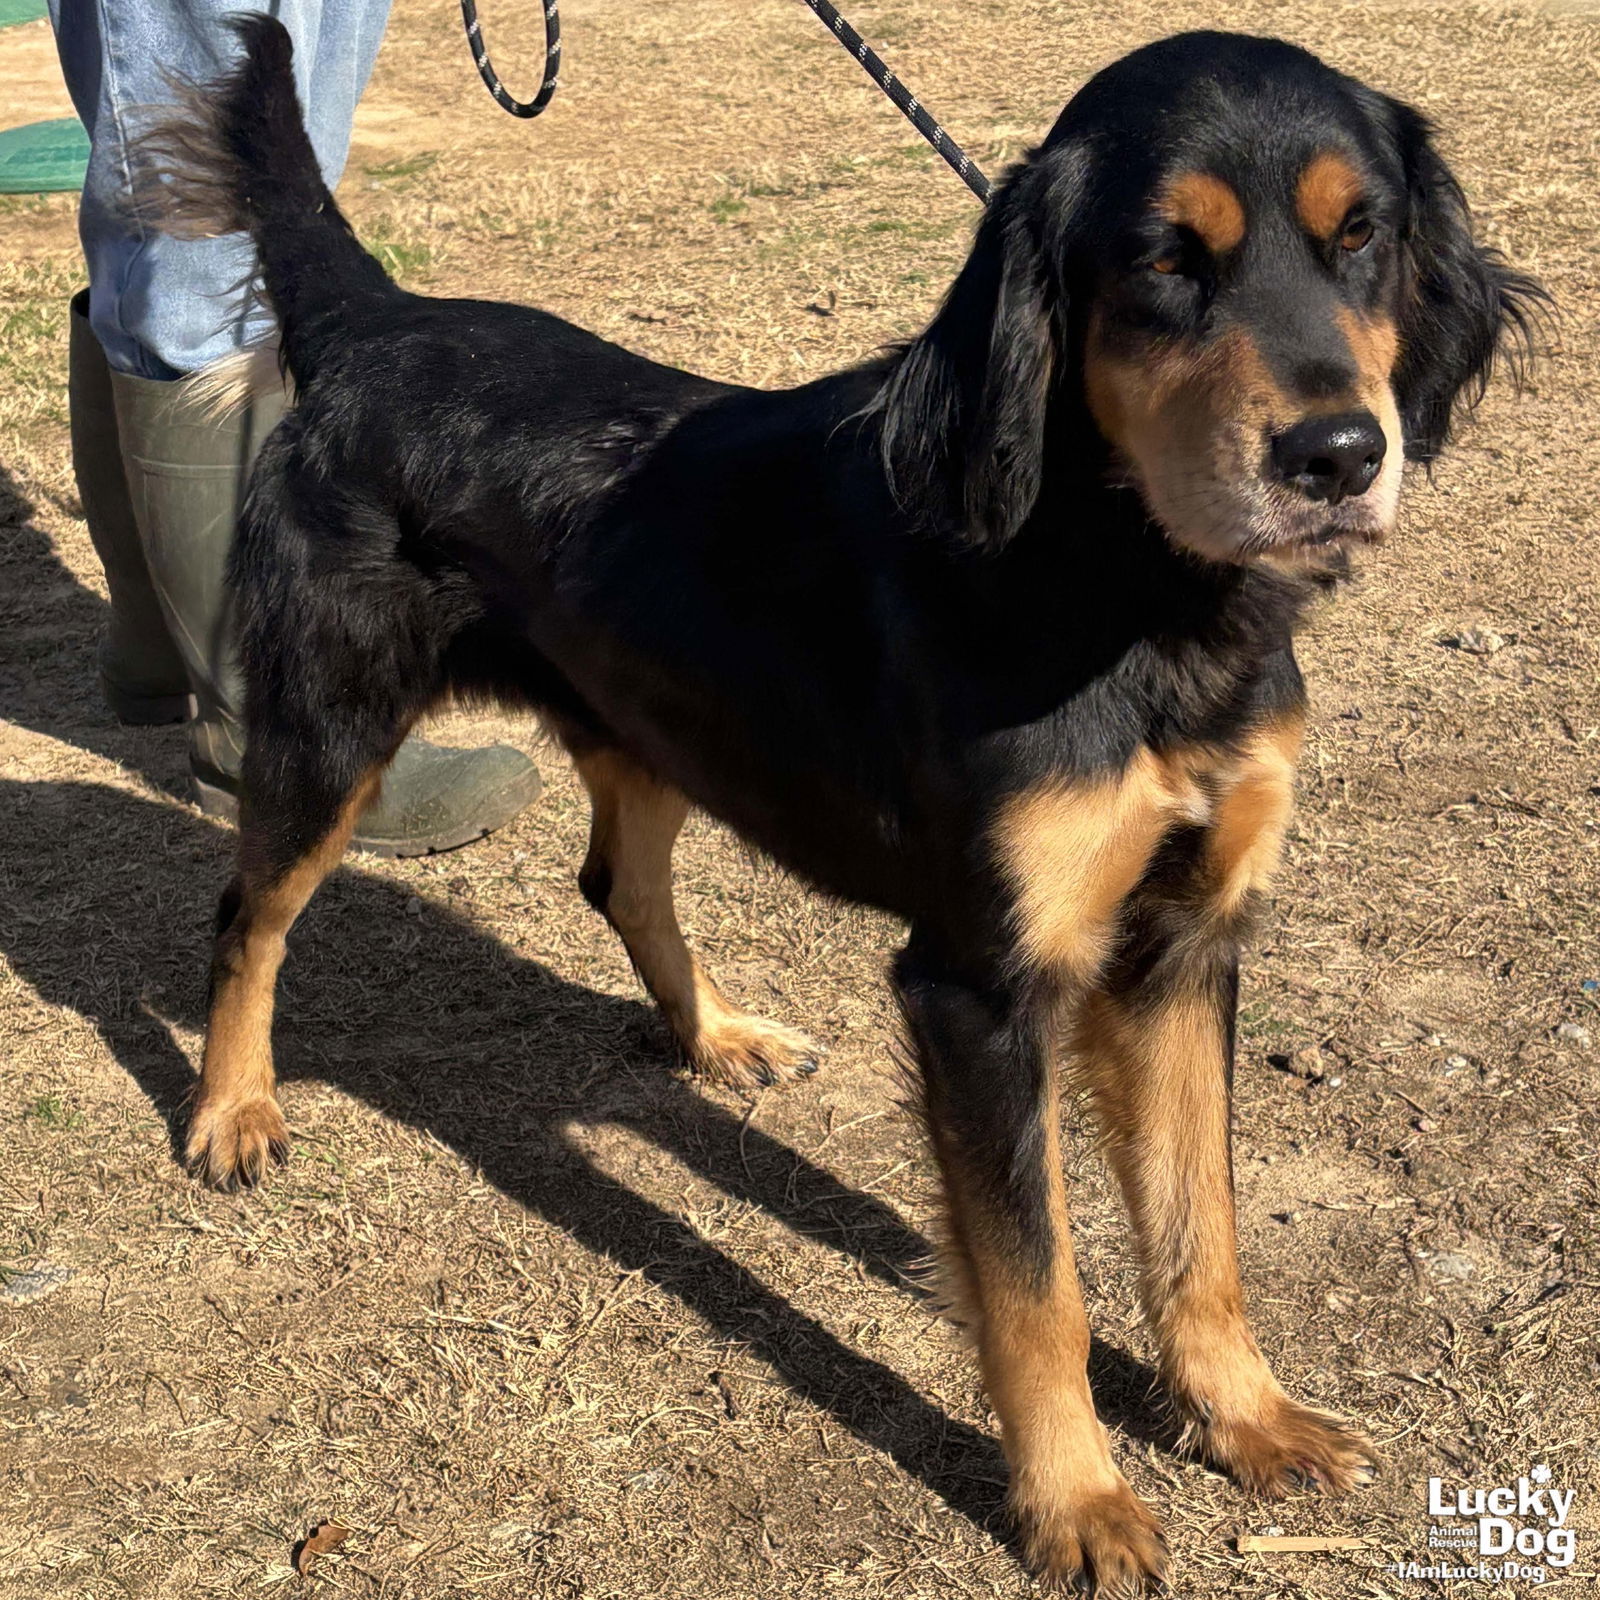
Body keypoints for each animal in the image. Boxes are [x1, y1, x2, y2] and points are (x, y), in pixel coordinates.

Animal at [147, 18, 1536, 1593]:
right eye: (1164, 259)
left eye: (1363, 234)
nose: (1341, 457)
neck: (1123, 582)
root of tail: (379, 320)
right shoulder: (977, 984)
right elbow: (1038, 1283)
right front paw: (1075, 1501)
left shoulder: (1184, 942)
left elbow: (1203, 1225)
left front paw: (1244, 1418)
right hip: (329, 729)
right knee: (248, 911)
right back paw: (233, 1107)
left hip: (648, 714)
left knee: (618, 878)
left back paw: (714, 1035)